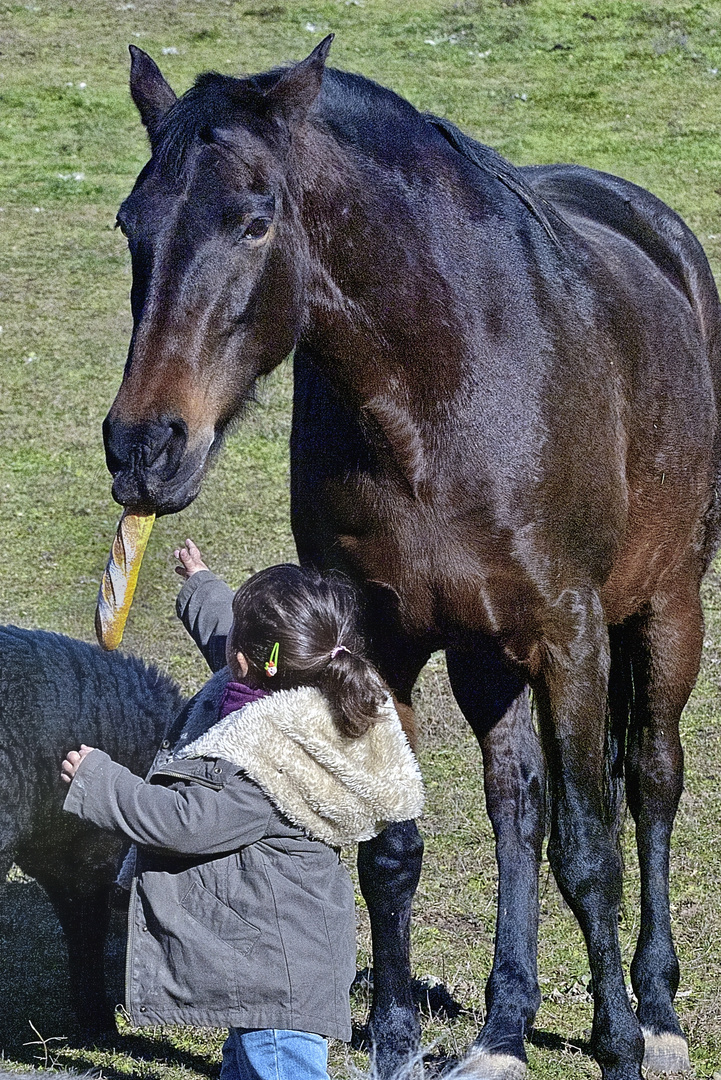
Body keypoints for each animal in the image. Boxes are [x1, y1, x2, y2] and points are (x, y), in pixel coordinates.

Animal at [99, 35, 721, 1080]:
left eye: (255, 221)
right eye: (129, 223)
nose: (142, 447)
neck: (448, 385)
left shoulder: (571, 633)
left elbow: (590, 853)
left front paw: (619, 1043)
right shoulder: (380, 639)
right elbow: (392, 849)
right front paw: (394, 1041)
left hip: (666, 610)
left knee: (649, 784)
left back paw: (660, 1012)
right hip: (484, 651)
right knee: (517, 806)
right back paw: (503, 1032)